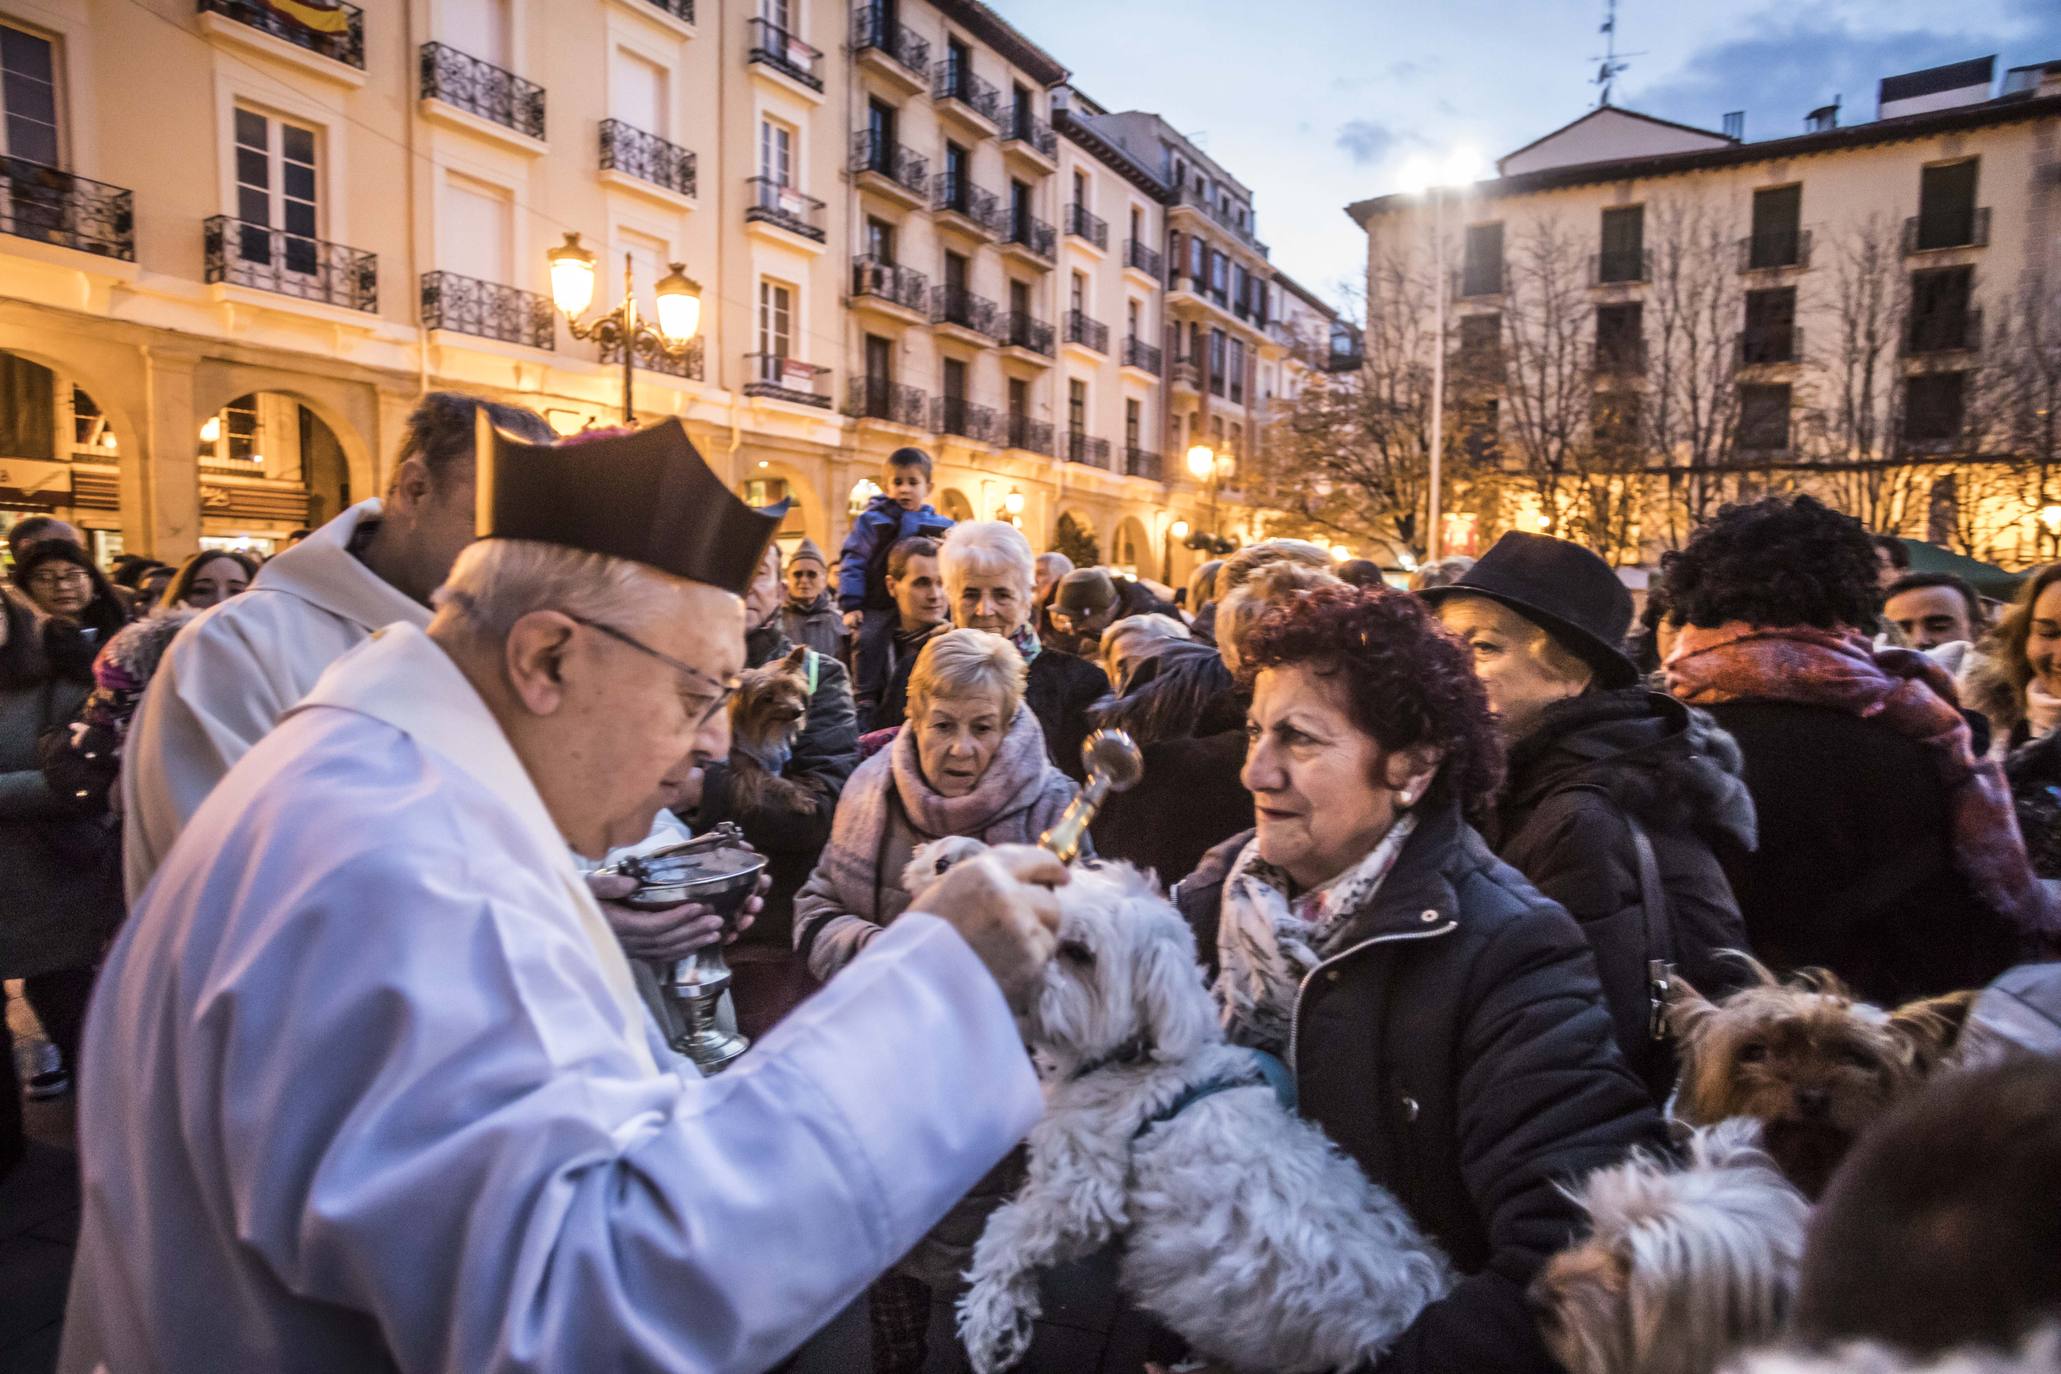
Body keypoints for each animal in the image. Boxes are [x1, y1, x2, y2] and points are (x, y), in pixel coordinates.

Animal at [729, 646, 816, 815]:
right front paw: (802, 801)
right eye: (767, 698)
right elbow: (782, 783)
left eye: (791, 689)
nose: (798, 711)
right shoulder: (747, 769)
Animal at [910, 840, 1459, 1374]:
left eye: (1078, 952)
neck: (1134, 1063)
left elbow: (1007, 1233)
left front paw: (992, 1324)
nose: (947, 867)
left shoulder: (1083, 1191)